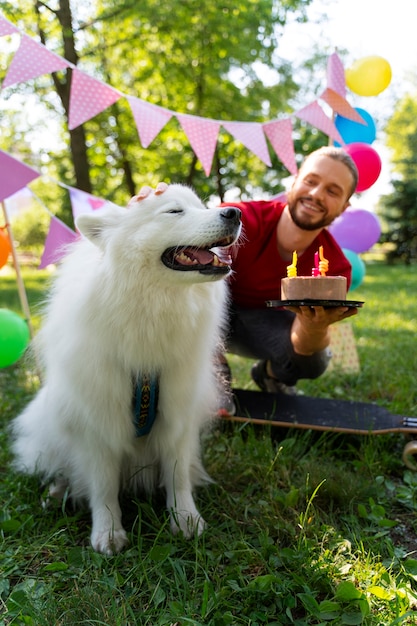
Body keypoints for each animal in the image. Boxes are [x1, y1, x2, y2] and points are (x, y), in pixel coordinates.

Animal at [10, 184, 240, 552]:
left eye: (201, 205)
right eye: (174, 211)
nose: (235, 212)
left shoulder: (177, 414)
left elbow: (177, 475)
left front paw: (185, 520)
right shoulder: (97, 421)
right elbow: (103, 485)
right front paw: (108, 533)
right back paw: (59, 491)